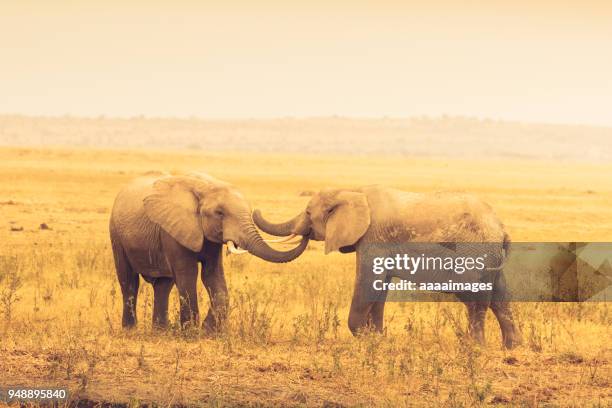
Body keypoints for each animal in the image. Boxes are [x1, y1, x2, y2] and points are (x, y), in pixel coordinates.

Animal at [108, 174, 308, 330]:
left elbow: (213, 274)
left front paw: (207, 331)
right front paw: (191, 332)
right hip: (116, 234)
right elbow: (188, 274)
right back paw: (130, 330)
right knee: (129, 280)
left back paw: (160, 331)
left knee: (163, 285)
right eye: (219, 213)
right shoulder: (173, 230)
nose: (306, 230)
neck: (205, 186)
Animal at [253, 185, 520, 348]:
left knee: (476, 297)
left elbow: (367, 283)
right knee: (500, 296)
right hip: (491, 256)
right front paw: (377, 339)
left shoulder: (373, 238)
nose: (255, 210)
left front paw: (362, 338)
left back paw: (476, 347)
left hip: (476, 250)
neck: (353, 191)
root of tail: (501, 228)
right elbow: (379, 291)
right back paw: (511, 348)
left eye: (308, 213)